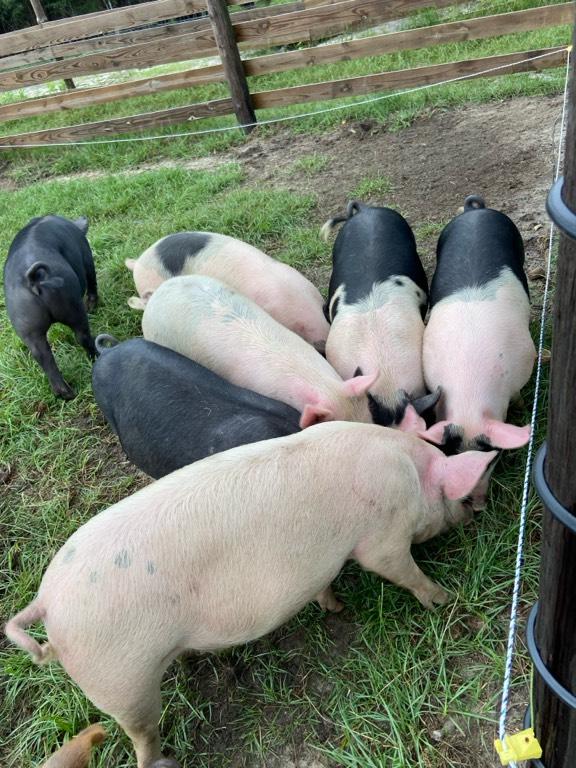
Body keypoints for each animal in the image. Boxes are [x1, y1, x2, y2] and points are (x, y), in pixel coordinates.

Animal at [3, 215, 98, 399]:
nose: (83, 216)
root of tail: (33, 279)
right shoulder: (86, 254)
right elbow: (92, 279)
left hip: (26, 326)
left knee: (43, 356)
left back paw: (67, 394)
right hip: (72, 304)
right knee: (82, 336)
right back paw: (97, 356)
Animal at [6, 422, 497, 768]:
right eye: (462, 499)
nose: (475, 517)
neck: (409, 473)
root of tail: (47, 603)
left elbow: (324, 583)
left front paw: (336, 607)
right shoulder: (383, 537)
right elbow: (404, 572)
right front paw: (444, 599)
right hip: (121, 681)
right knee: (141, 737)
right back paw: (164, 758)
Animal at [420, 195, 535, 457]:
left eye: (490, 451)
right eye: (452, 450)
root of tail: (475, 211)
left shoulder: (525, 357)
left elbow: (517, 395)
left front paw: (522, 406)